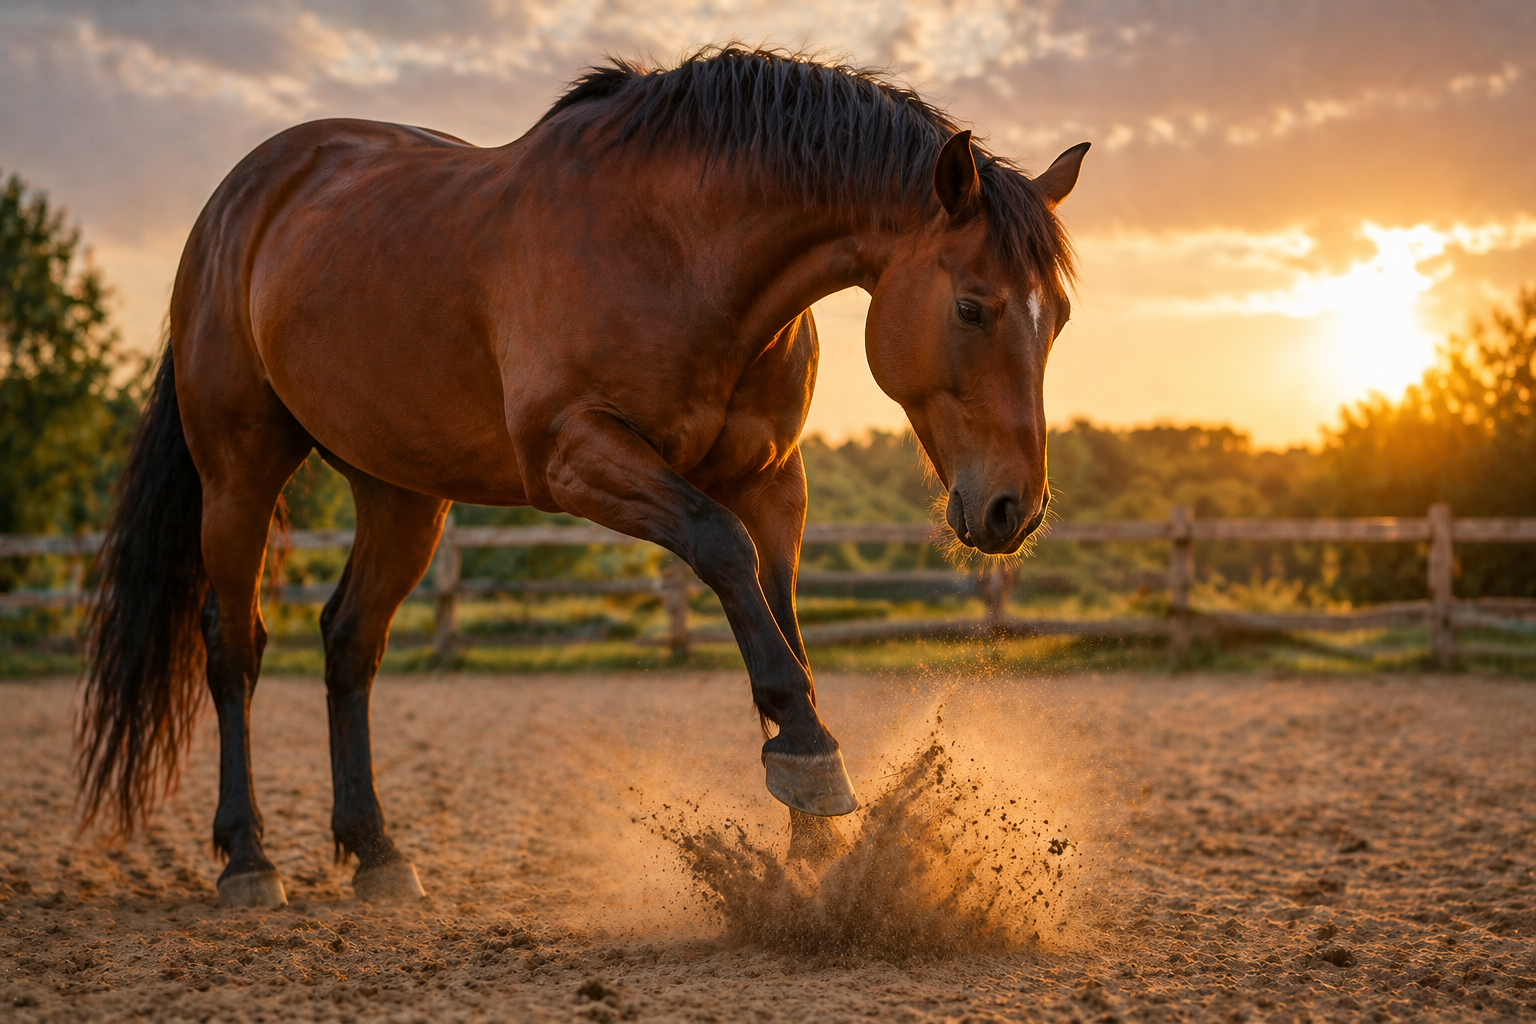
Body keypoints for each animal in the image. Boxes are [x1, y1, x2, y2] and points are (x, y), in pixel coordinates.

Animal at [77, 47, 1087, 908]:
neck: (682, 250)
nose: (1013, 509)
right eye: (972, 307)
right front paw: (807, 760)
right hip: (239, 471)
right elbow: (720, 549)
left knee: (349, 643)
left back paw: (377, 854)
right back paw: (247, 859)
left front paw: (815, 842)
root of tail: (241, 198)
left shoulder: (772, 480)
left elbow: (784, 621)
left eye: (1062, 318)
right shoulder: (579, 458)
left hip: (402, 492)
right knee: (233, 647)